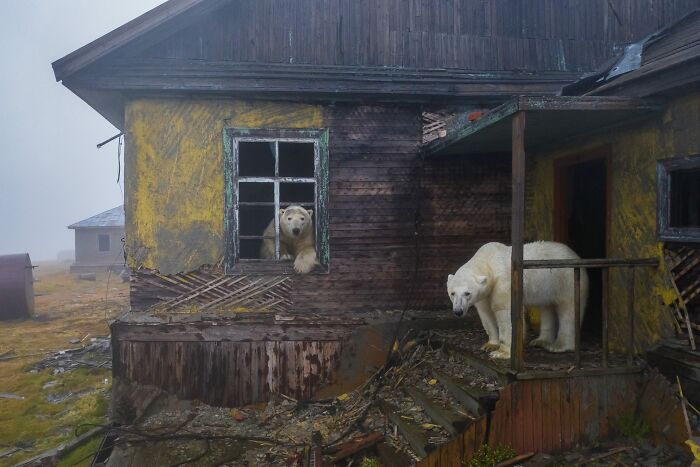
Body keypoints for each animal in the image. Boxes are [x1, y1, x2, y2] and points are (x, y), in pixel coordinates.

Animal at [446, 241, 588, 360]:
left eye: (467, 293)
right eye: (452, 293)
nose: (458, 311)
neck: (488, 261)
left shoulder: (503, 283)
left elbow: (505, 312)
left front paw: (501, 353)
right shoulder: (485, 294)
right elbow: (486, 314)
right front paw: (490, 345)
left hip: (566, 280)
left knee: (568, 310)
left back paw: (558, 346)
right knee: (547, 308)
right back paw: (541, 341)